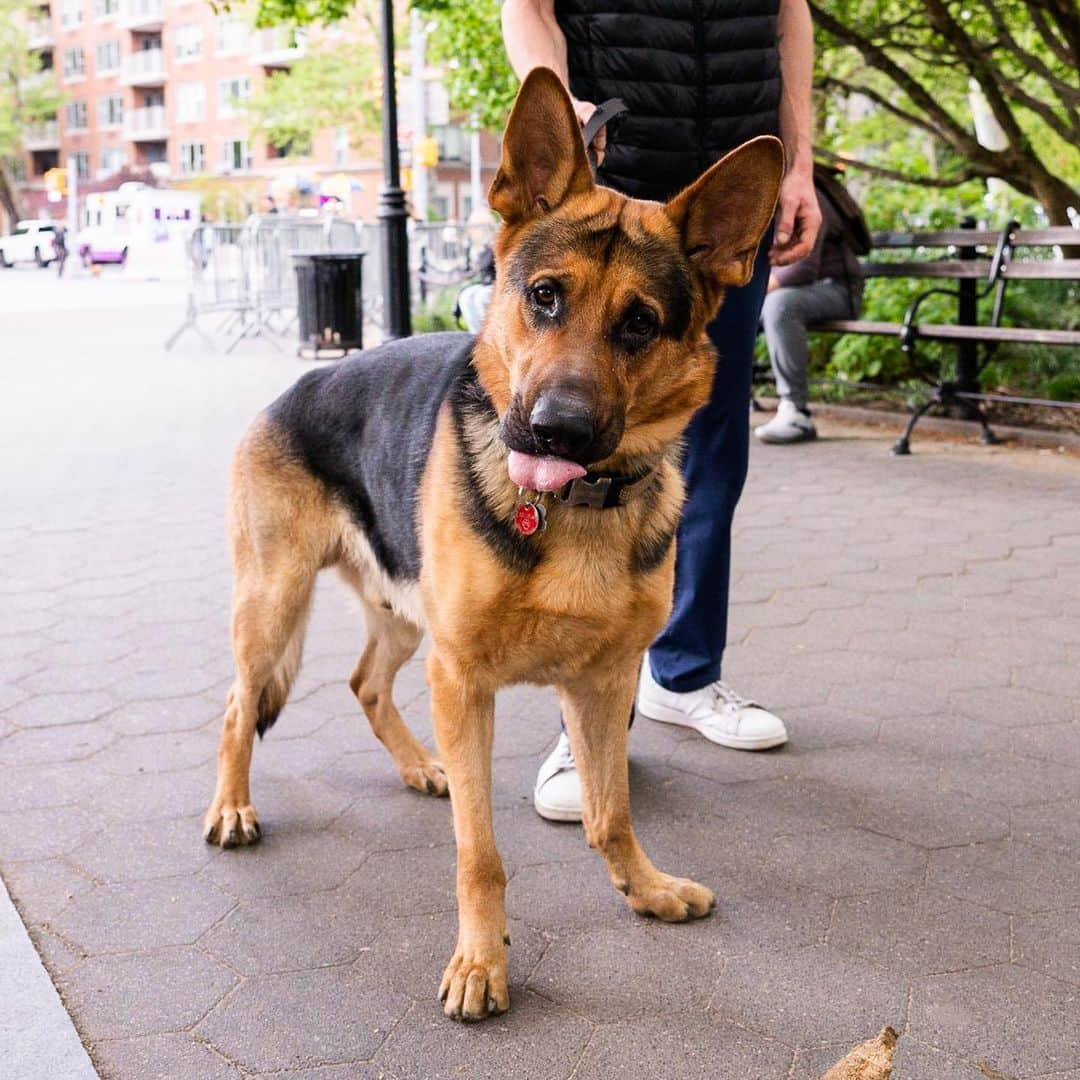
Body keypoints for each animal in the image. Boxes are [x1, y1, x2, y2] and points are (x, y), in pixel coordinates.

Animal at [206, 69, 781, 1019]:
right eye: (544, 296)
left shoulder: (601, 685)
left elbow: (611, 813)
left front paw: (645, 890)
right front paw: (481, 963)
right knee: (235, 707)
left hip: (404, 617)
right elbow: (479, 852)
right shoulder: (465, 681)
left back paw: (418, 766)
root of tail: (295, 388)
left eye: (640, 324)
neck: (577, 507)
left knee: (366, 684)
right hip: (274, 604)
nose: (556, 431)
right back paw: (233, 808)